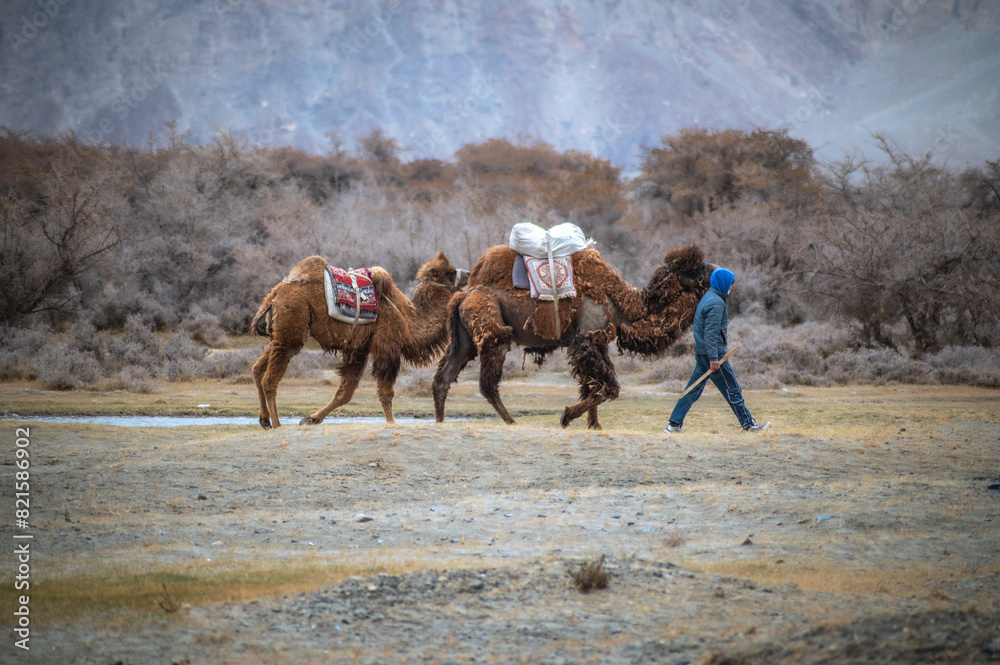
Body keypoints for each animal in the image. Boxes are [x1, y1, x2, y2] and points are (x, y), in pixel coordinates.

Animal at [250, 252, 468, 428]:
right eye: (450, 272)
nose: (467, 274)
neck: (408, 320)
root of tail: (275, 294)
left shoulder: (360, 348)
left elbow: (345, 392)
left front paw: (311, 419)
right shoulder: (387, 345)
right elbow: (386, 391)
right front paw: (391, 423)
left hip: (279, 331)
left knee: (257, 368)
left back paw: (265, 420)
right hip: (293, 321)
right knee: (270, 378)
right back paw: (277, 424)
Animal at [432, 245, 714, 429]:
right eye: (696, 268)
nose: (717, 270)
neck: (623, 303)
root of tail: (463, 295)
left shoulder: (595, 341)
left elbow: (593, 384)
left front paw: (594, 425)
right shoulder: (584, 342)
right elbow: (609, 387)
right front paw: (567, 416)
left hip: (464, 340)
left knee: (443, 377)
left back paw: (440, 421)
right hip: (494, 334)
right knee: (487, 383)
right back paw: (511, 420)